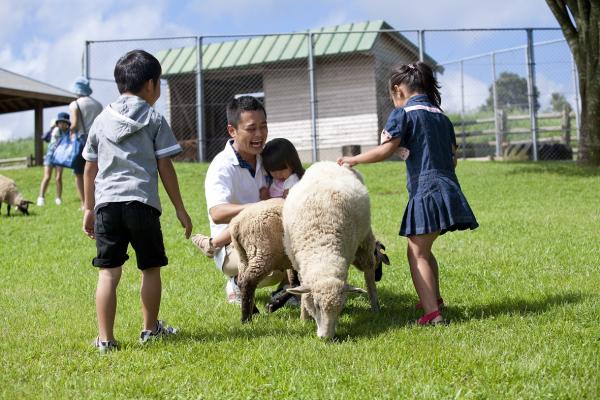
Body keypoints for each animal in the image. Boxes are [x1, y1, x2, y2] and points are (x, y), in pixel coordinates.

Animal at [282, 161, 380, 340]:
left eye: (340, 307)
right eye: (317, 305)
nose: (327, 338)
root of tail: (328, 162)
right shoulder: (299, 267)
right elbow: (304, 293)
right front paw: (304, 319)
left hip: (364, 239)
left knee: (369, 271)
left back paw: (375, 305)